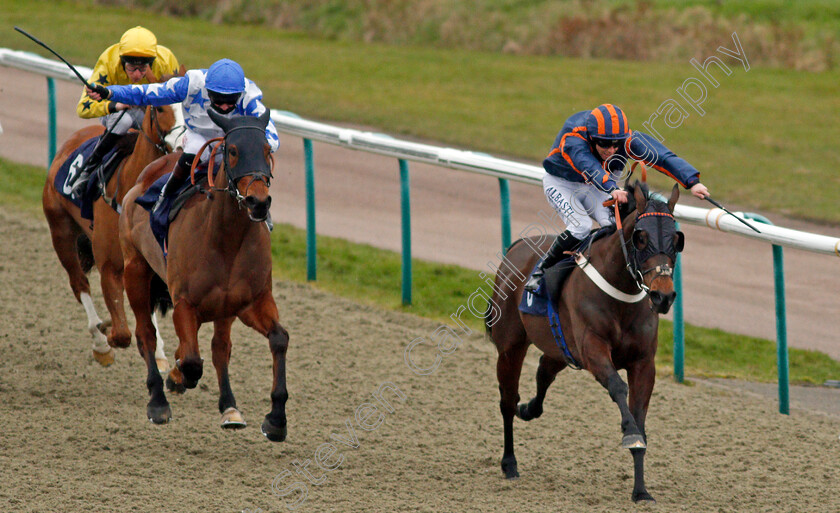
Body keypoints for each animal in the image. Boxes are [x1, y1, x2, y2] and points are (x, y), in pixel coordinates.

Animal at [41, 102, 183, 366]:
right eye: (160, 108)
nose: (181, 143)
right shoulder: (109, 266)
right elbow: (122, 334)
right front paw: (106, 329)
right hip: (60, 231)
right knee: (79, 283)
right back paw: (100, 342)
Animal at [118, 110, 288, 438]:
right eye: (232, 150)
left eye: (267, 150)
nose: (258, 202)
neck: (226, 239)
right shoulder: (184, 303)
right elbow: (192, 361)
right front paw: (178, 377)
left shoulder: (251, 302)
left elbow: (278, 339)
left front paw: (275, 420)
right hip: (135, 269)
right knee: (146, 334)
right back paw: (158, 401)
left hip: (225, 309)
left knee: (220, 348)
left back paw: (229, 407)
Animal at [486, 182, 684, 502]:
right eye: (641, 238)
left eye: (677, 239)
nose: (662, 296)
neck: (620, 291)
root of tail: (517, 246)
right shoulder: (593, 349)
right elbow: (618, 387)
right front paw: (630, 434)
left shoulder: (643, 362)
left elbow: (639, 413)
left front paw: (641, 490)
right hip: (511, 346)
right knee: (507, 400)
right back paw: (509, 463)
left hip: (560, 347)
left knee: (543, 372)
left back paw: (528, 409)